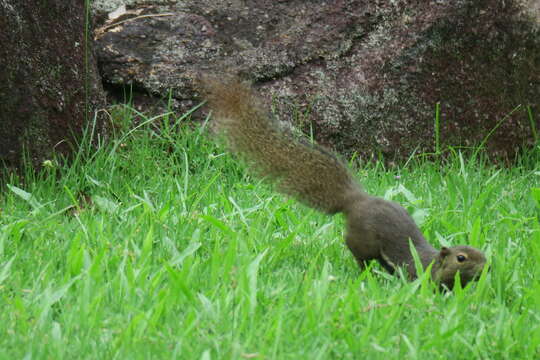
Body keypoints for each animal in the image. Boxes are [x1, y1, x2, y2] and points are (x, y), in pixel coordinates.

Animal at [200, 76, 488, 290]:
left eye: (480, 250)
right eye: (461, 258)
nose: (487, 266)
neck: (433, 263)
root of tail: (355, 201)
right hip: (362, 243)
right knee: (360, 258)